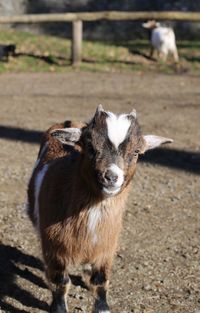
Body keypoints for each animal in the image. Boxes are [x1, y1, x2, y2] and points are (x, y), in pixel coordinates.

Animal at [27, 105, 173, 312]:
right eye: (89, 146)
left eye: (137, 151)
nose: (111, 177)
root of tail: (67, 122)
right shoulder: (53, 248)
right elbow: (60, 282)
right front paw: (59, 308)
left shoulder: (106, 248)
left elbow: (100, 281)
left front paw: (102, 306)